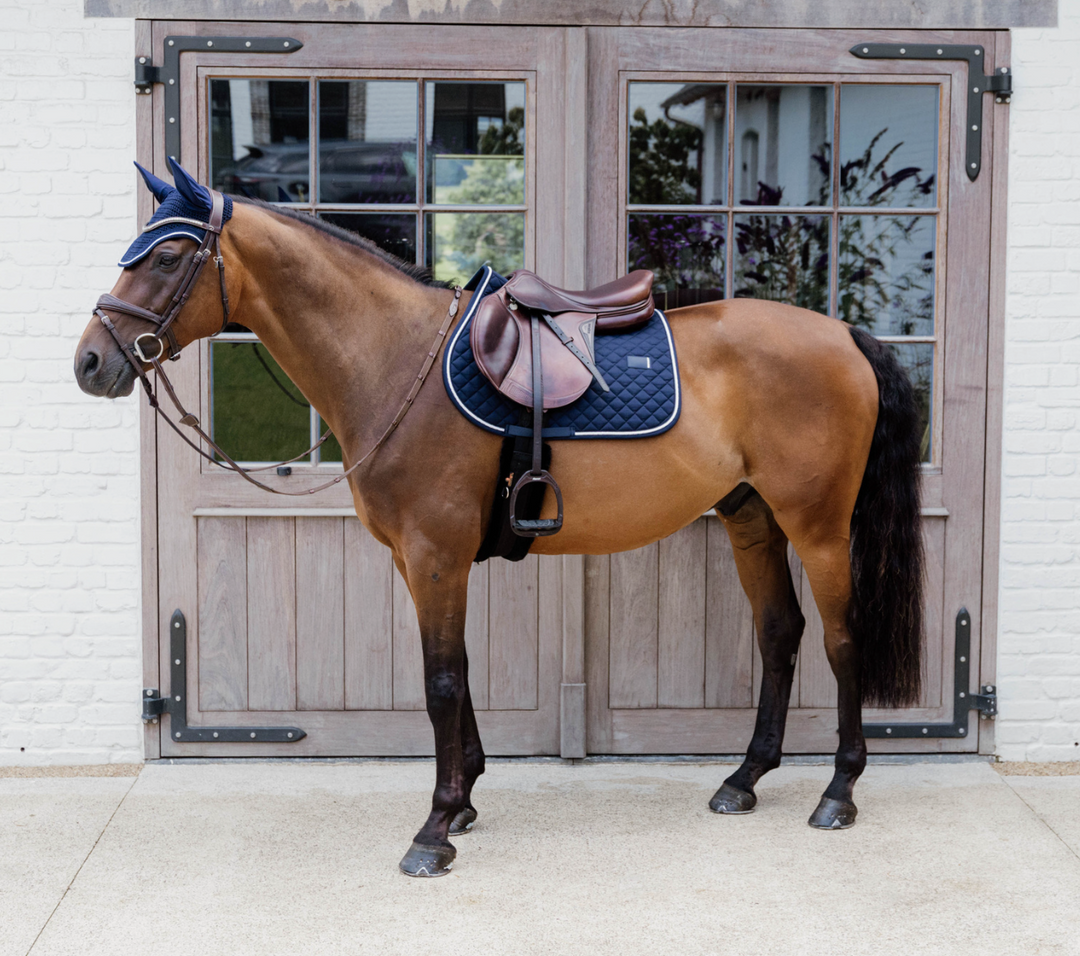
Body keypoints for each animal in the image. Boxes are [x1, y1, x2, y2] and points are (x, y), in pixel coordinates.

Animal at [76, 159, 924, 877]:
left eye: (167, 256)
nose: (90, 361)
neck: (399, 360)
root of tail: (843, 333)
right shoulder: (416, 559)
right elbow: (457, 672)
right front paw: (465, 800)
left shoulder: (435, 554)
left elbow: (442, 680)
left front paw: (435, 826)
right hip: (753, 518)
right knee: (780, 634)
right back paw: (744, 778)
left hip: (818, 526)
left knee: (842, 641)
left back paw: (838, 792)